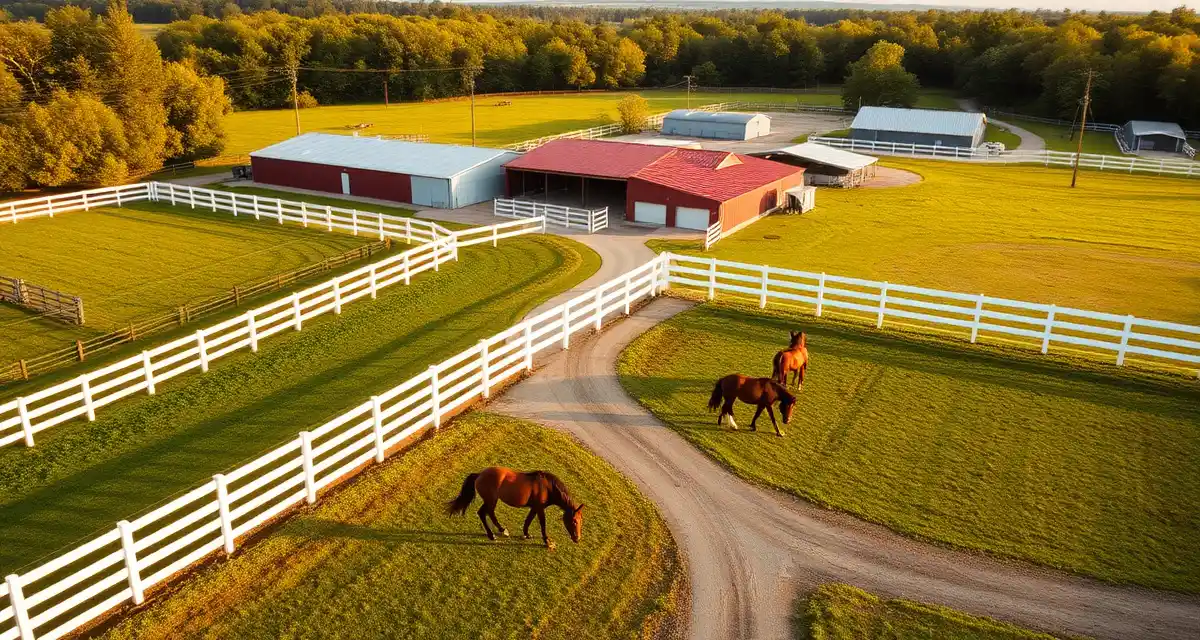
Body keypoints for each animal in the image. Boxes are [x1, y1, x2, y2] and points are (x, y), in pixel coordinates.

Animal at [446, 467, 584, 550]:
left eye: (581, 521)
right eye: (574, 521)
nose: (577, 538)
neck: (547, 487)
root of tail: (480, 475)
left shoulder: (534, 508)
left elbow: (528, 520)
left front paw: (527, 534)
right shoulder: (540, 508)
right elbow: (542, 524)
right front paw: (547, 541)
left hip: (491, 501)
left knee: (489, 513)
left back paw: (502, 530)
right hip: (491, 500)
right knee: (483, 513)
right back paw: (492, 535)